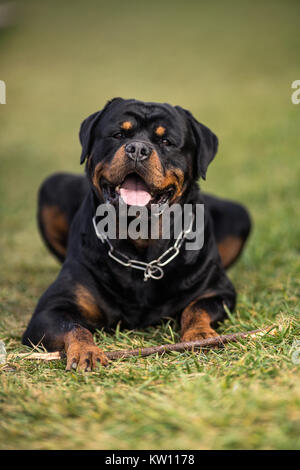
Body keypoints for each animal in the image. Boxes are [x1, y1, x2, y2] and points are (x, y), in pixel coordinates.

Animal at [22, 98, 251, 370]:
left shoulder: (217, 292)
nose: (138, 149)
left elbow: (196, 309)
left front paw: (201, 336)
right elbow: (74, 326)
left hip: (238, 215)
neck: (142, 243)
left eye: (166, 141)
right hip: (52, 186)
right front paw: (86, 351)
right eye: (119, 135)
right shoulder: (51, 310)